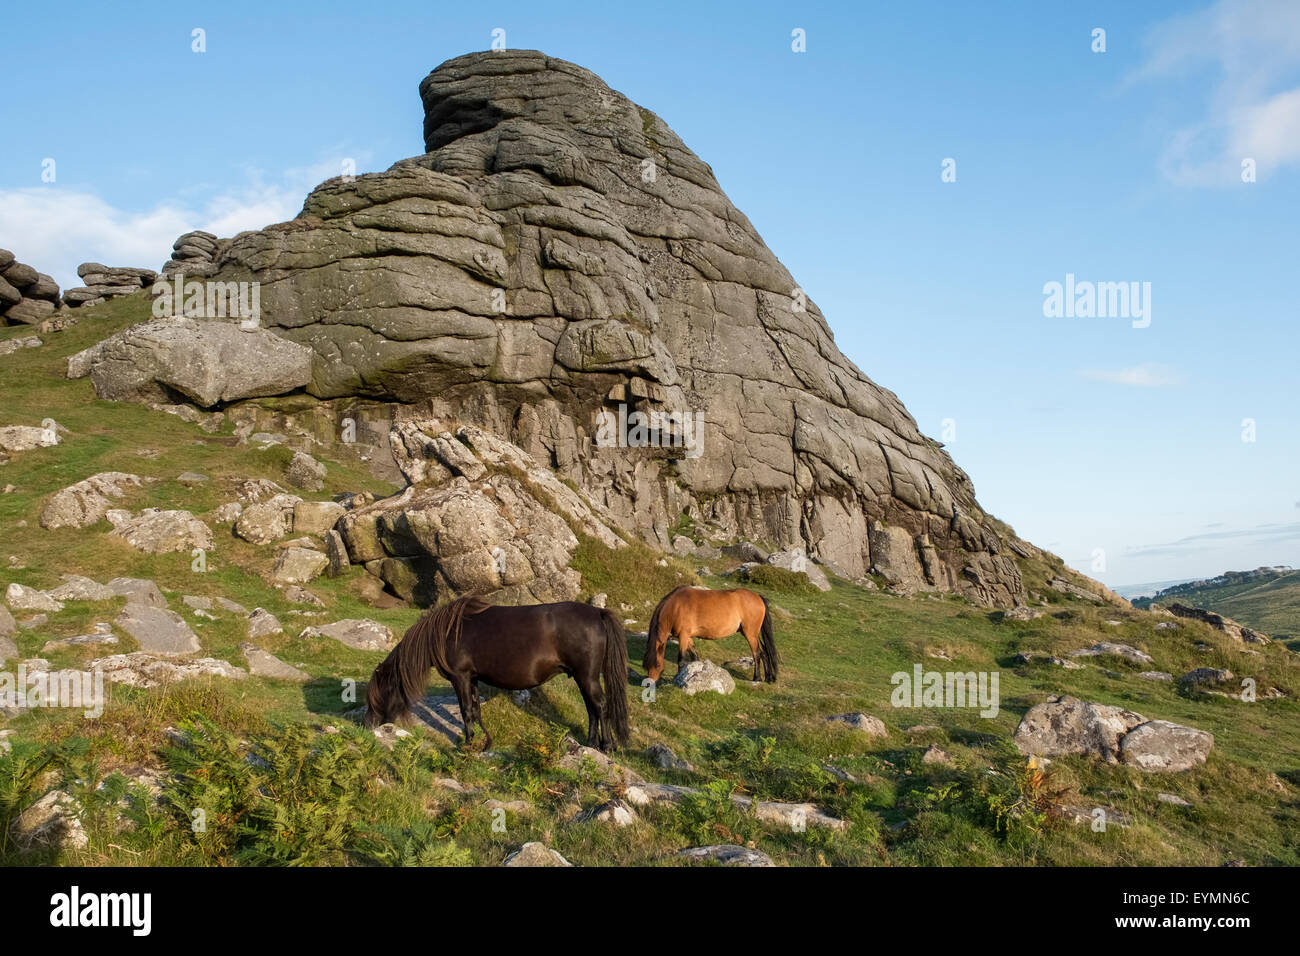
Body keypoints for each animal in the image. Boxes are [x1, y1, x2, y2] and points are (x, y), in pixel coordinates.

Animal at [366, 595, 629, 749]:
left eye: (380, 694)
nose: (368, 725)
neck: (445, 633)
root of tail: (597, 613)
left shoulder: (460, 678)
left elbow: (466, 711)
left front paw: (468, 743)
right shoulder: (471, 679)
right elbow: (475, 710)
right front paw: (484, 742)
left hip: (586, 677)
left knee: (600, 706)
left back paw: (607, 746)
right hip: (582, 678)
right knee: (592, 709)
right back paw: (591, 743)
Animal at [642, 587, 774, 686]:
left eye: (657, 665)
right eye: (646, 665)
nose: (648, 684)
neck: (676, 607)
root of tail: (758, 597)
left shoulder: (683, 636)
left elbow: (681, 660)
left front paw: (677, 679)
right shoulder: (688, 637)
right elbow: (694, 656)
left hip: (750, 634)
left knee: (756, 653)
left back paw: (757, 678)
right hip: (752, 634)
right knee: (764, 652)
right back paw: (769, 678)